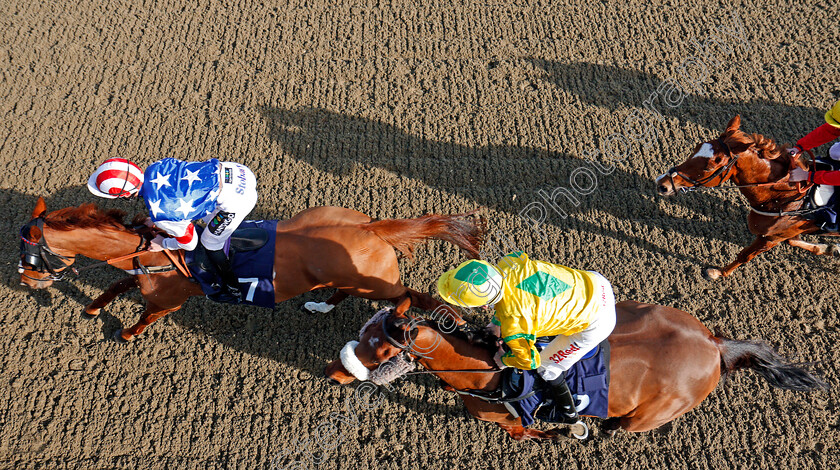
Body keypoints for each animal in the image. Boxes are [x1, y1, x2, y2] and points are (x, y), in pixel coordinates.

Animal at [16, 196, 482, 340]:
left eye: (31, 258)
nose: (24, 280)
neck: (153, 251)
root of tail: (371, 227)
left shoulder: (168, 299)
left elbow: (145, 315)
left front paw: (126, 333)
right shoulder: (140, 275)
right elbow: (114, 287)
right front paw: (93, 307)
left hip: (377, 285)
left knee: (409, 295)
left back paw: (418, 318)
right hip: (348, 275)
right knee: (344, 291)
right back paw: (320, 307)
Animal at [324, 302, 828, 440]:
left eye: (378, 348)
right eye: (363, 331)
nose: (333, 371)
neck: (488, 374)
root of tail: (714, 344)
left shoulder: (512, 421)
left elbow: (527, 433)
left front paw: (557, 434)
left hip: (649, 414)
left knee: (624, 427)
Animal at [656, 115, 840, 280]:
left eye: (710, 166)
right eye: (697, 146)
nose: (662, 184)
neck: (784, 199)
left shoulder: (770, 238)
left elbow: (745, 255)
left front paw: (718, 273)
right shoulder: (785, 233)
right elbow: (793, 241)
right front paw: (829, 249)